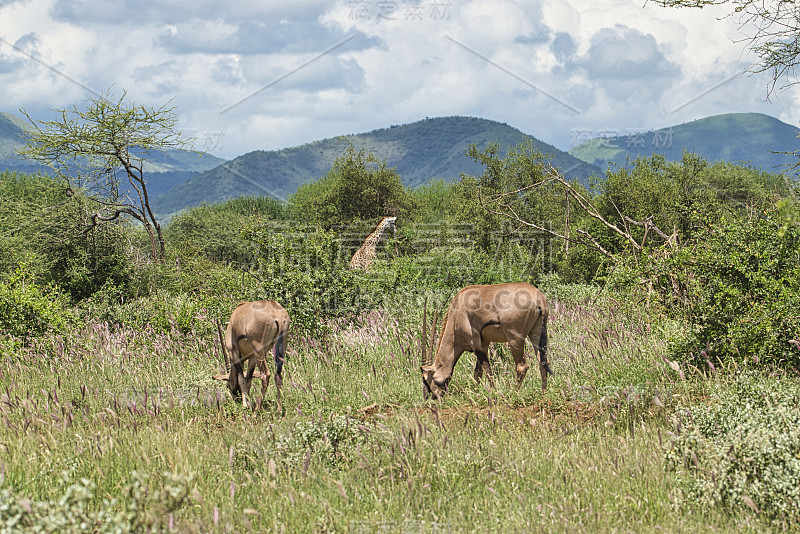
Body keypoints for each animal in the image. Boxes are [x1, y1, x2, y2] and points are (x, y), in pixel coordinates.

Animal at [422, 284, 552, 402]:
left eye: (425, 378)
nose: (429, 397)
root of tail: (538, 298)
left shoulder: (475, 343)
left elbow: (487, 370)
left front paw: (493, 392)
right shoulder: (484, 344)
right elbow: (478, 373)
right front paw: (475, 393)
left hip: (515, 339)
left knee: (522, 367)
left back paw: (513, 393)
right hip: (536, 333)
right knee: (543, 361)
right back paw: (544, 393)